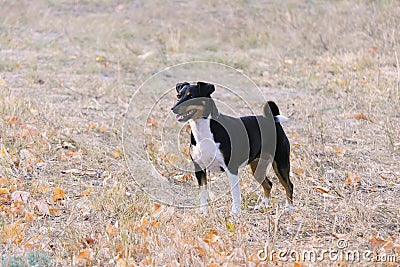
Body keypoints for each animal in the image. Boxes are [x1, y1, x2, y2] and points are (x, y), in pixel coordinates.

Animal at [170, 82, 292, 216]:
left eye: (191, 96)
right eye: (178, 96)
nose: (173, 108)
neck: (204, 132)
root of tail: (273, 120)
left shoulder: (231, 168)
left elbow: (235, 193)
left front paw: (235, 212)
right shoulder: (199, 168)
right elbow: (203, 193)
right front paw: (203, 212)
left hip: (281, 164)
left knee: (289, 185)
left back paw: (289, 208)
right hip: (257, 168)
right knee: (268, 184)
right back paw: (262, 205)